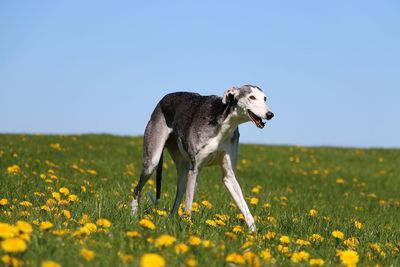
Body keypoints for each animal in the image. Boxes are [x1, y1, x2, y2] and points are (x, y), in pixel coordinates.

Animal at [130, 85, 272, 231]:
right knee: (136, 189)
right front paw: (188, 227)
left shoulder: (229, 175)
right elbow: (188, 206)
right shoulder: (195, 169)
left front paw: (253, 233)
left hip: (183, 170)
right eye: (251, 97)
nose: (270, 114)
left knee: (178, 195)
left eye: (265, 98)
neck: (223, 125)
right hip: (152, 162)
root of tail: (162, 100)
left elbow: (245, 207)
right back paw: (133, 216)